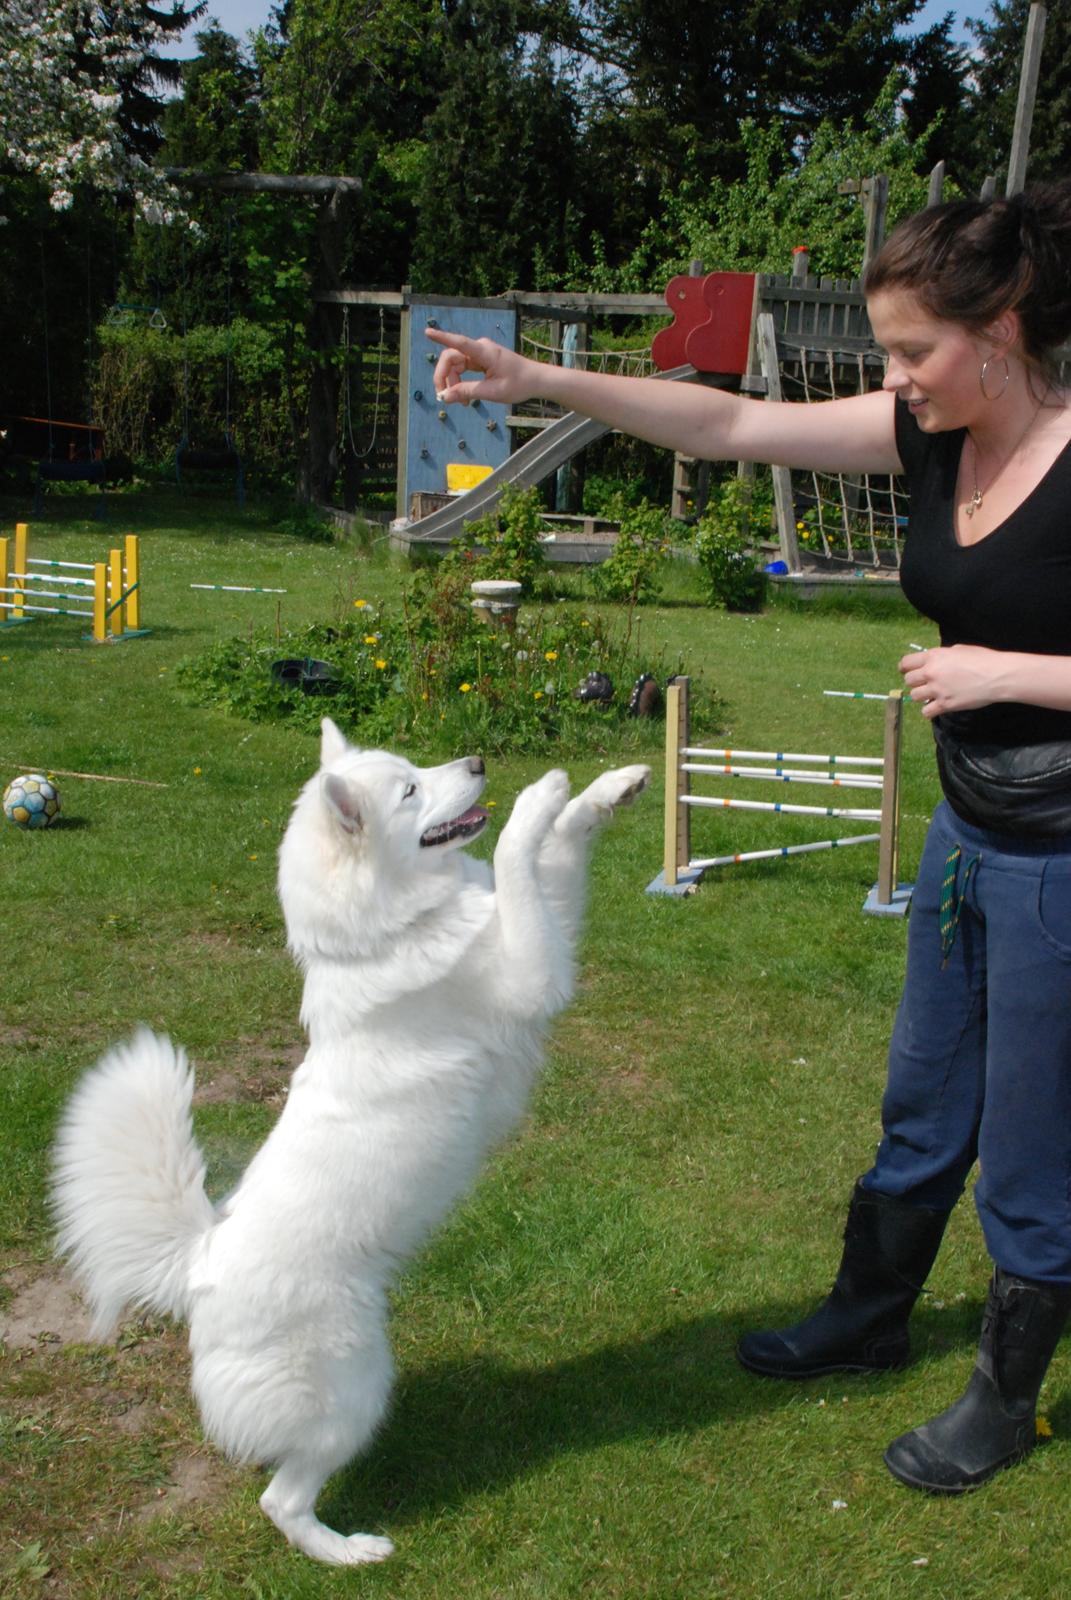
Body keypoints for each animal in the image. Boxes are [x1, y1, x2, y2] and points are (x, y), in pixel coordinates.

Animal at [50, 720, 646, 1568]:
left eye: (414, 765)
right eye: (410, 791)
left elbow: (556, 850)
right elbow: (516, 855)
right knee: (281, 1499)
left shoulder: (547, 931)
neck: (388, 934)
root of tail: (199, 1264)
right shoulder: (532, 972)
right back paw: (349, 1551)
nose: (478, 761)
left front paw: (610, 787)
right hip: (354, 1391)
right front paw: (541, 795)